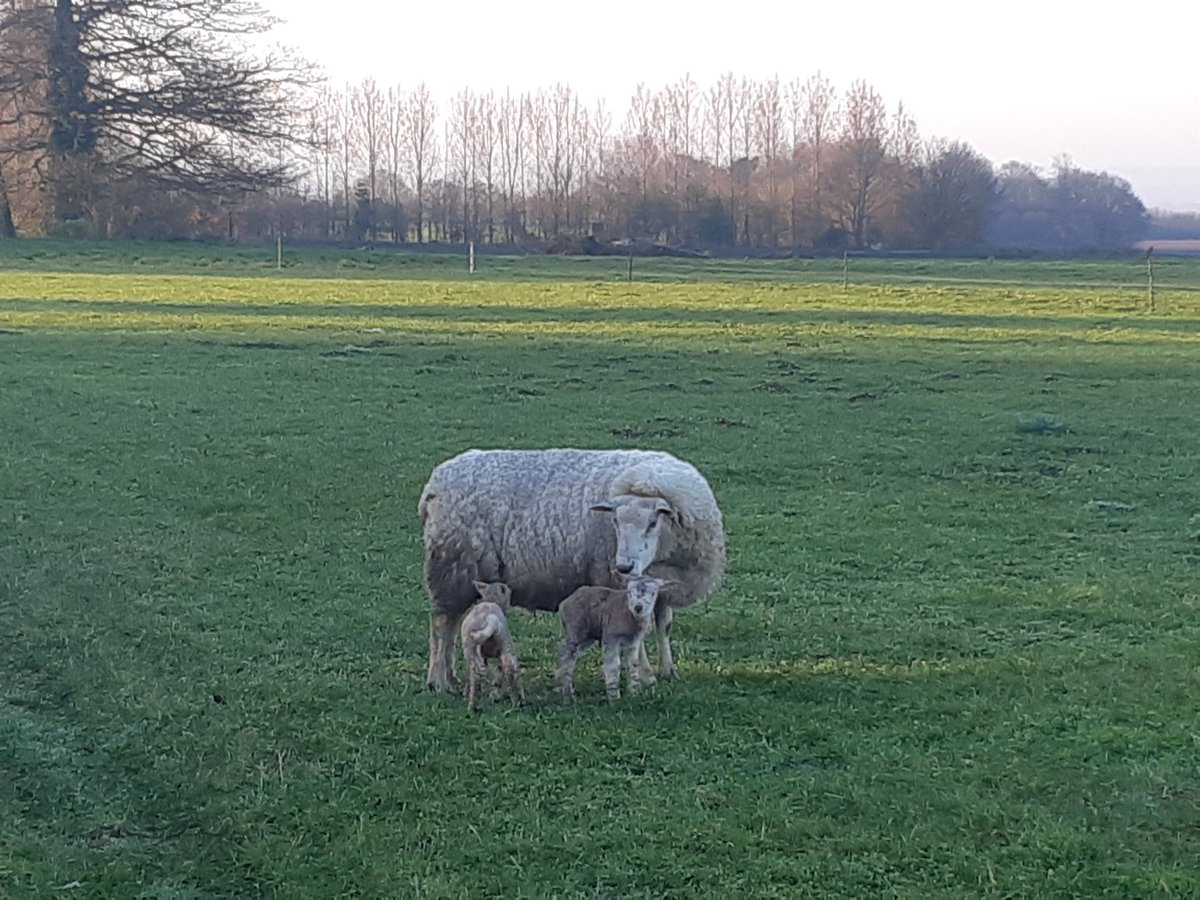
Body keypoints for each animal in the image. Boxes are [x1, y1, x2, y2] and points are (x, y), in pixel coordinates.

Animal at [418, 448, 725, 692]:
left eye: (652, 523)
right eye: (615, 521)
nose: (624, 567)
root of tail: (435, 483)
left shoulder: (662, 585)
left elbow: (664, 625)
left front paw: (667, 670)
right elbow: (640, 629)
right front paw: (647, 674)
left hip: (463, 575)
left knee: (453, 623)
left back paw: (451, 676)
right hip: (451, 566)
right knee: (441, 625)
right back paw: (438, 681)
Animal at [458, 580, 525, 712]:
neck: (491, 600)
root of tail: (490, 619)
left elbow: (469, 673)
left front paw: (465, 692)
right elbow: (498, 674)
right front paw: (494, 694)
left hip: (471, 647)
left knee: (477, 672)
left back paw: (472, 706)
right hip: (506, 643)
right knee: (511, 668)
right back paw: (518, 702)